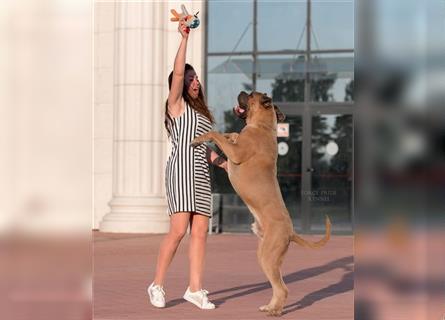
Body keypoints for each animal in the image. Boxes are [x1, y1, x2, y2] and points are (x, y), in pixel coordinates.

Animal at [191, 91, 330, 316]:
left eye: (250, 95)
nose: (241, 92)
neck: (262, 126)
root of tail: (291, 232)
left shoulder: (236, 153)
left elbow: (215, 133)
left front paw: (199, 139)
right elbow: (229, 133)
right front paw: (229, 135)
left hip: (267, 256)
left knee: (282, 288)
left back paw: (275, 311)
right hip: (266, 257)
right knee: (276, 286)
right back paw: (270, 306)